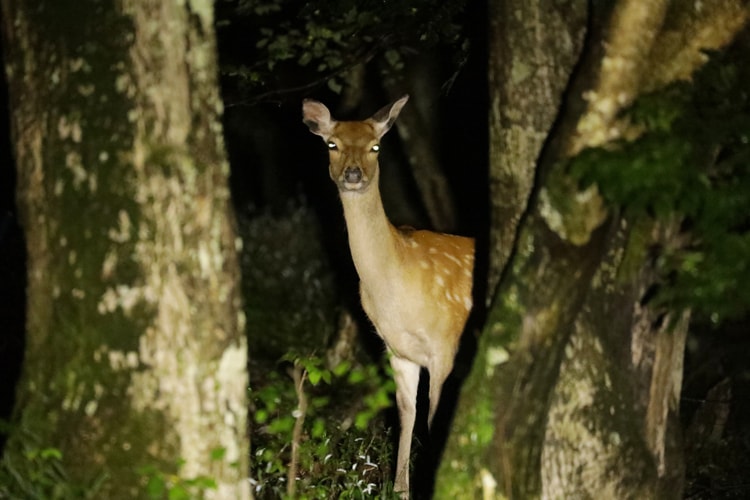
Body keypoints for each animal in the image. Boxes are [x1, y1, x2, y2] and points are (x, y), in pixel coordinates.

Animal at [302, 94, 472, 496]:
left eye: (375, 146)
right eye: (331, 144)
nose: (352, 174)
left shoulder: (445, 342)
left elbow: (434, 414)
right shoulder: (398, 349)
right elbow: (407, 412)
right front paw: (400, 489)